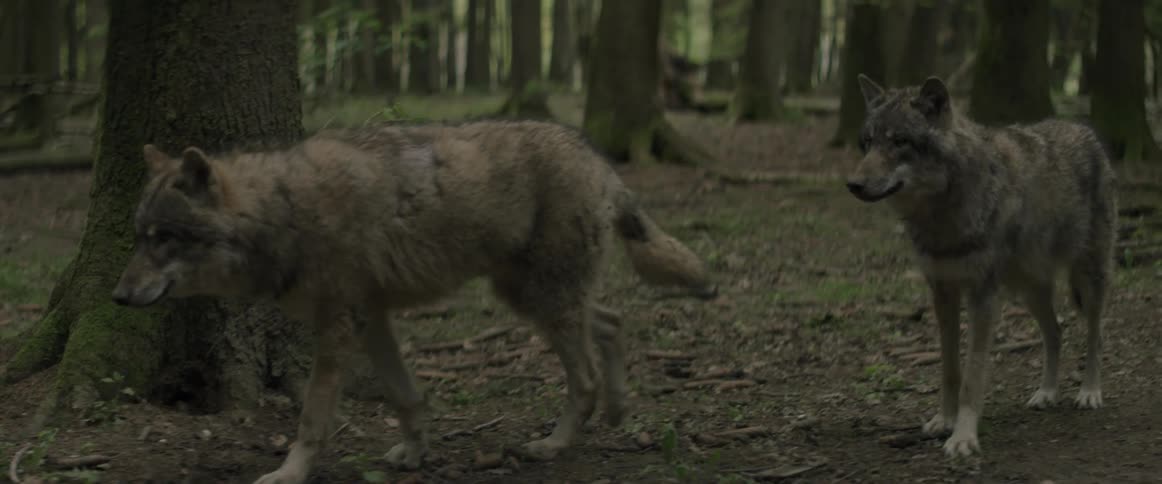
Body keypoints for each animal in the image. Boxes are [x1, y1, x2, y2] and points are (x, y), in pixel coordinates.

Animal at [110, 120, 717, 483]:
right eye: (139, 237)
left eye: (162, 238)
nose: (116, 295)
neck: (283, 210)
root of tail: (594, 154)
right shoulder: (371, 319)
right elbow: (405, 396)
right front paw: (415, 452)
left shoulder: (338, 327)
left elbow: (312, 418)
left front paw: (289, 474)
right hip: (533, 296)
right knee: (612, 322)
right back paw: (617, 410)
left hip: (540, 300)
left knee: (584, 374)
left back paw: (555, 445)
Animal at [845, 74, 1117, 458]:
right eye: (868, 143)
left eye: (900, 141)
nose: (853, 184)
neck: (942, 214)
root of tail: (1083, 128)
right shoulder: (942, 293)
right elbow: (950, 369)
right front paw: (944, 421)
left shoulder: (982, 296)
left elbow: (973, 375)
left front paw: (963, 437)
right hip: (1029, 291)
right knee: (1055, 333)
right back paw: (1046, 393)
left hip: (1088, 279)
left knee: (1096, 335)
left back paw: (1090, 392)